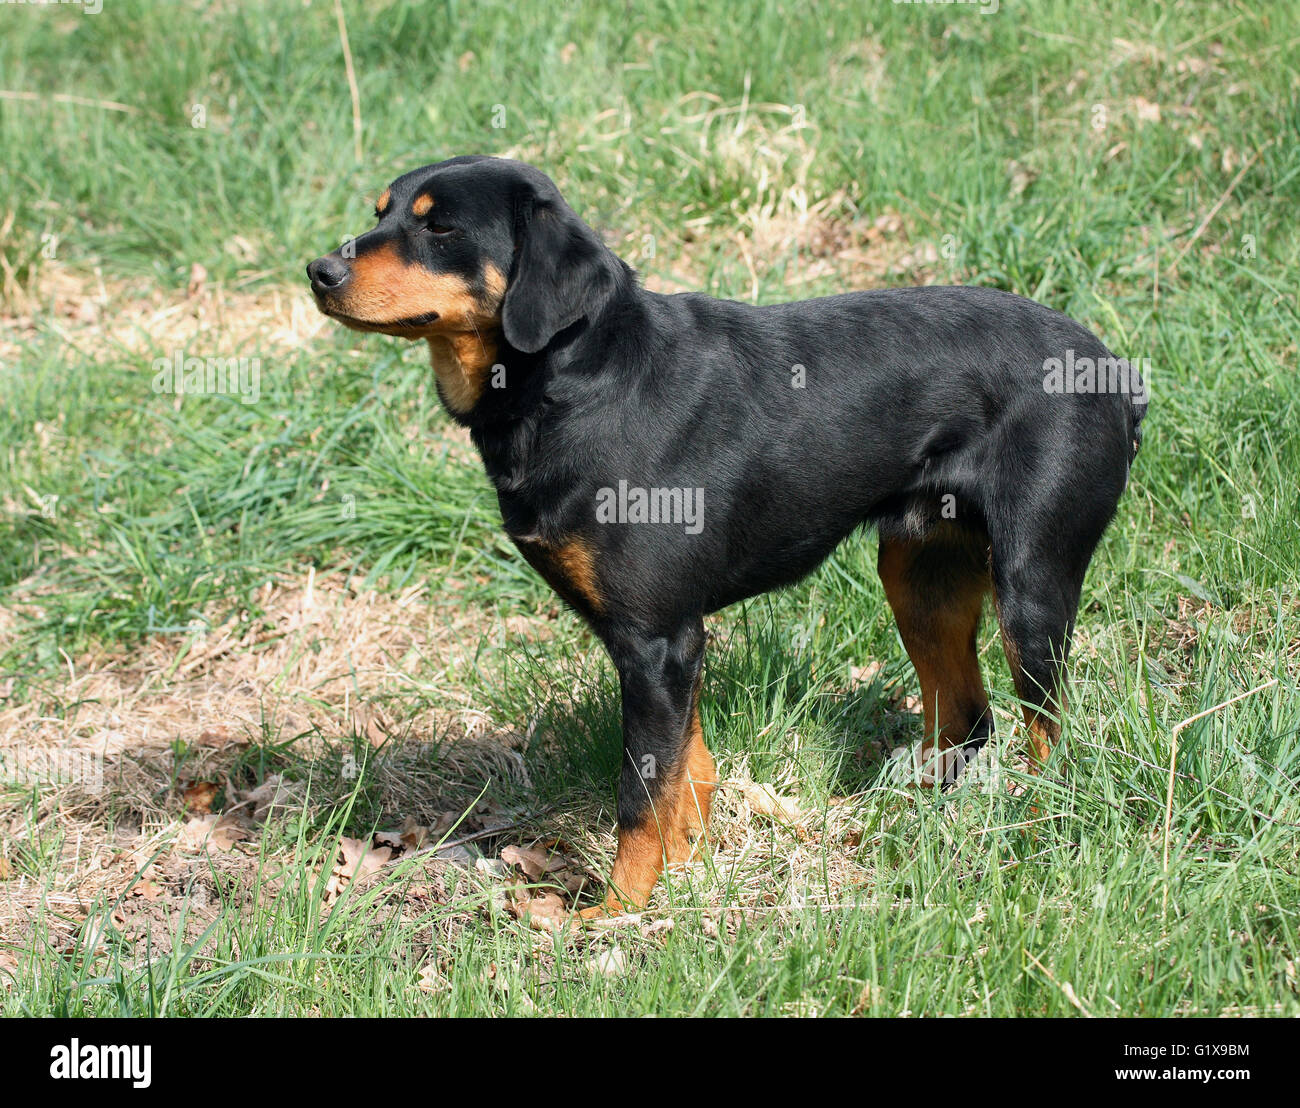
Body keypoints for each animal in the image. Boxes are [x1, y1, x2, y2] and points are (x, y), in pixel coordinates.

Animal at [306, 156, 1149, 915]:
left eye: (440, 227)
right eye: (382, 211)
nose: (319, 269)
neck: (573, 380)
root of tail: (1115, 371)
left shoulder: (655, 642)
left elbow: (641, 794)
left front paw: (615, 914)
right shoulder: (670, 641)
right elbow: (688, 773)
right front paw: (683, 877)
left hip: (1031, 590)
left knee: (1049, 733)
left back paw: (1034, 830)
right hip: (922, 578)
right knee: (966, 719)